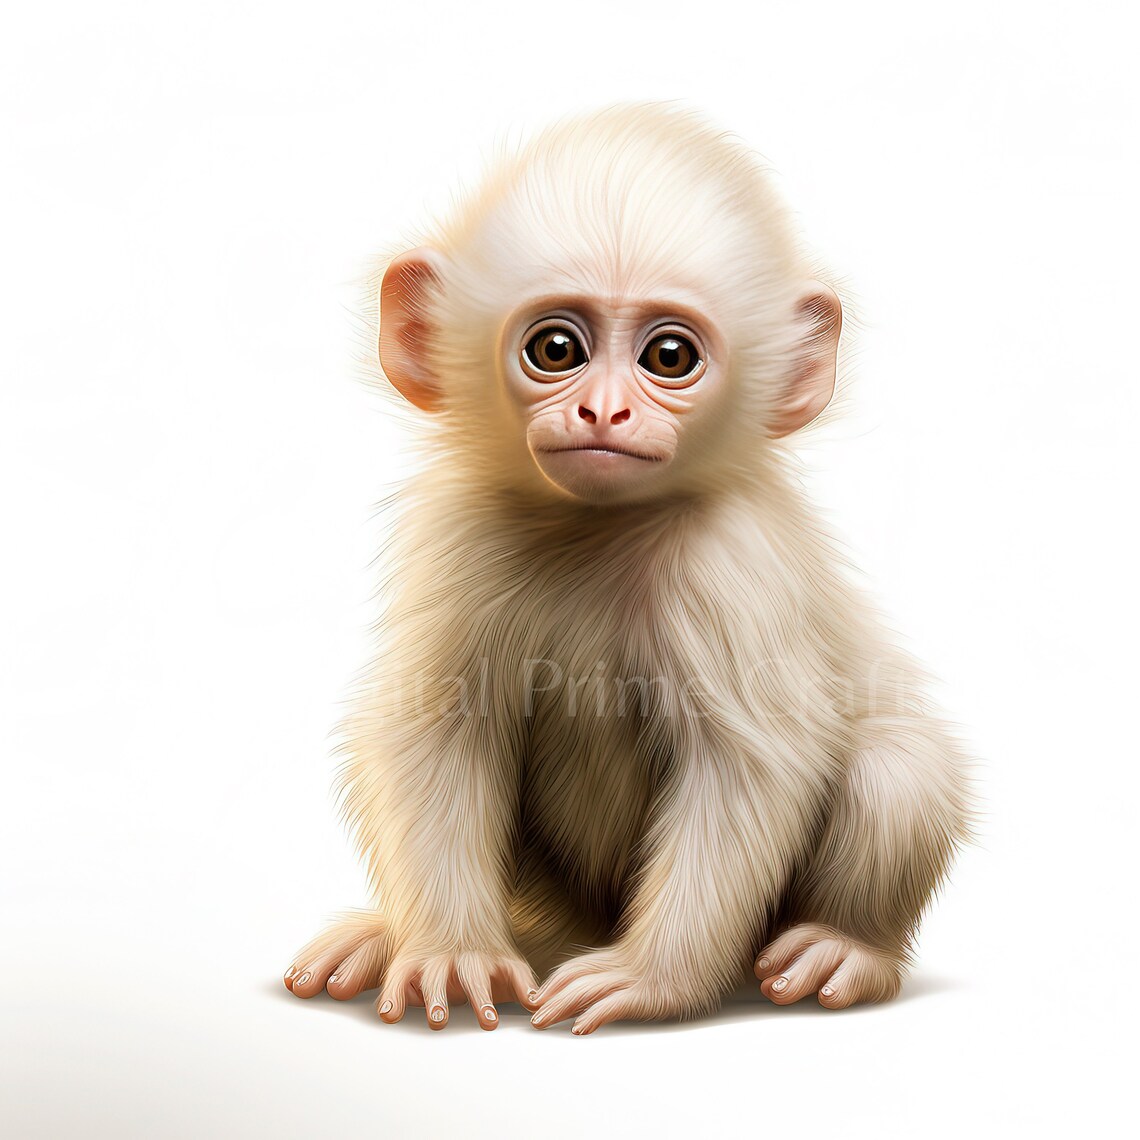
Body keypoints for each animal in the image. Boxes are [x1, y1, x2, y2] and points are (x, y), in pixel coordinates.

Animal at [283, 102, 974, 1034]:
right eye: (556, 348)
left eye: (669, 357)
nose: (603, 411)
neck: (600, 532)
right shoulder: (458, 532)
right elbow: (431, 728)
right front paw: (449, 952)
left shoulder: (730, 563)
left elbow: (751, 768)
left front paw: (652, 980)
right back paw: (394, 937)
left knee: (898, 769)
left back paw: (848, 946)